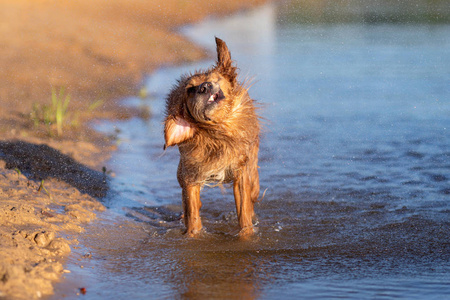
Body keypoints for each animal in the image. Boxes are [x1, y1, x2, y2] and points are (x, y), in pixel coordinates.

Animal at [163, 37, 260, 237]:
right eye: (190, 89)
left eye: (211, 79)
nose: (204, 87)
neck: (218, 133)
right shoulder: (191, 174)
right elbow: (192, 211)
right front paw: (193, 235)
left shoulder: (240, 172)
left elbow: (244, 211)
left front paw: (246, 234)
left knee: (254, 192)